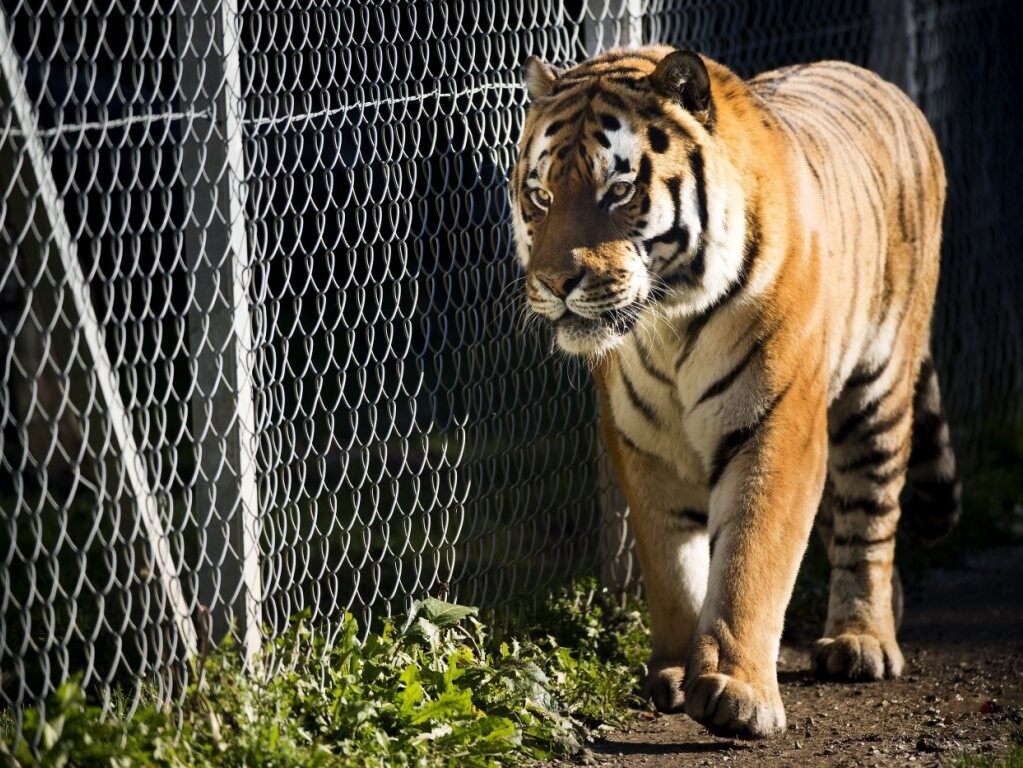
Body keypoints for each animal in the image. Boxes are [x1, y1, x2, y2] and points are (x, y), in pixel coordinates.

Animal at [509, 46, 961, 738]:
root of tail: (881, 81)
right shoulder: (645, 445)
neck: (668, 322)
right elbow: (672, 568)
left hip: (877, 390)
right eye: (540, 195)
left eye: (619, 190)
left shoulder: (776, 425)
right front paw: (673, 672)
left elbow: (752, 557)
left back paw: (862, 638)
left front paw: (736, 691)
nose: (556, 283)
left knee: (870, 517)